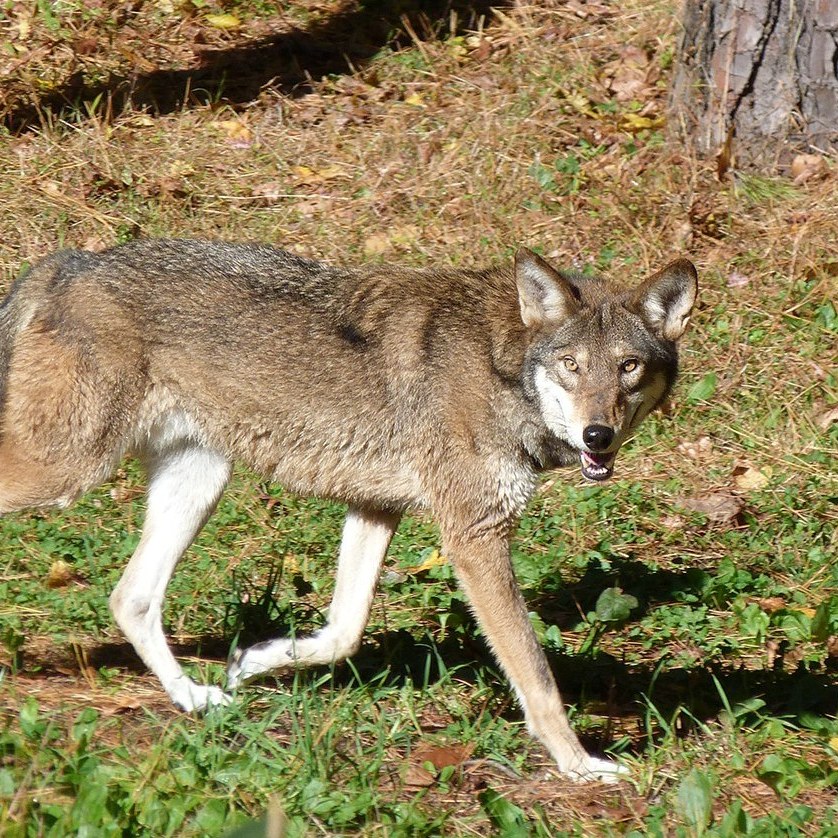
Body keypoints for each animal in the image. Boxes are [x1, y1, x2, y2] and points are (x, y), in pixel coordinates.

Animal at [0, 240, 696, 781]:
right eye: (572, 366)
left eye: (628, 367)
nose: (597, 436)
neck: (503, 366)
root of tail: (67, 261)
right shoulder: (474, 536)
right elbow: (537, 676)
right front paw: (578, 764)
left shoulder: (375, 509)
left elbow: (342, 632)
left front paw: (252, 662)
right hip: (71, 470)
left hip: (197, 482)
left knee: (132, 598)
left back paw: (196, 698)